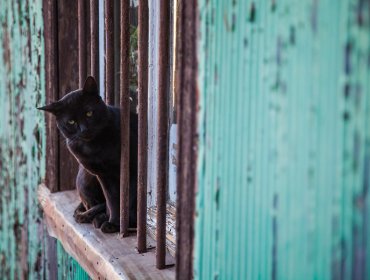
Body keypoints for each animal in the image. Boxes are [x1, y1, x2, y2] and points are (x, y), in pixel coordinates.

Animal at [38, 76, 137, 232]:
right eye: (71, 121)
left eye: (89, 113)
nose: (84, 129)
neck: (95, 148)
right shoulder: (104, 176)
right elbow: (113, 201)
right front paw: (114, 223)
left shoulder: (131, 169)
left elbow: (129, 199)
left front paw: (127, 223)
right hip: (84, 178)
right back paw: (98, 218)